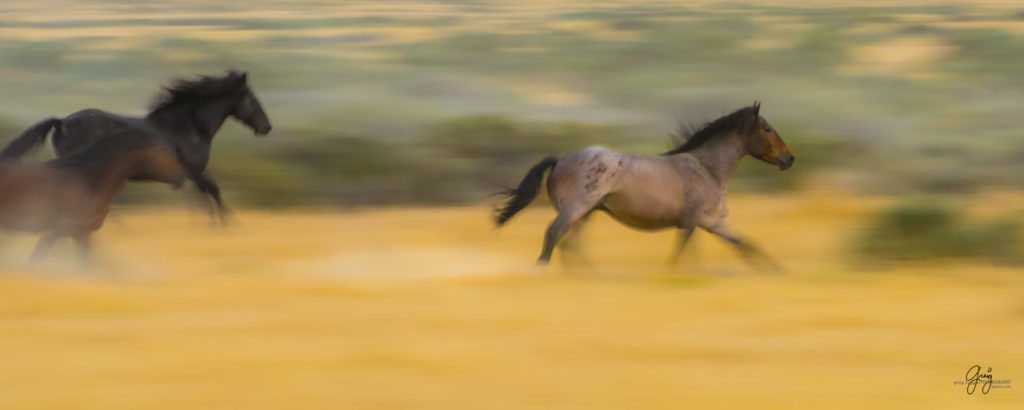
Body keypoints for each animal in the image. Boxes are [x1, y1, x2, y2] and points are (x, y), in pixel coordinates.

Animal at [0, 72, 272, 222]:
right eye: (252, 99)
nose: (266, 127)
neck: (187, 126)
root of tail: (62, 121)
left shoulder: (192, 172)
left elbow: (203, 196)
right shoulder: (193, 170)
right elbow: (212, 192)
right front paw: (226, 225)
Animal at [493, 102, 790, 268]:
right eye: (767, 129)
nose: (789, 158)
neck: (708, 169)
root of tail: (562, 158)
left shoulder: (712, 223)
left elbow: (747, 246)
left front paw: (778, 273)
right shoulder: (691, 222)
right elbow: (680, 254)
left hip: (585, 214)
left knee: (570, 246)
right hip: (574, 210)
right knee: (553, 236)